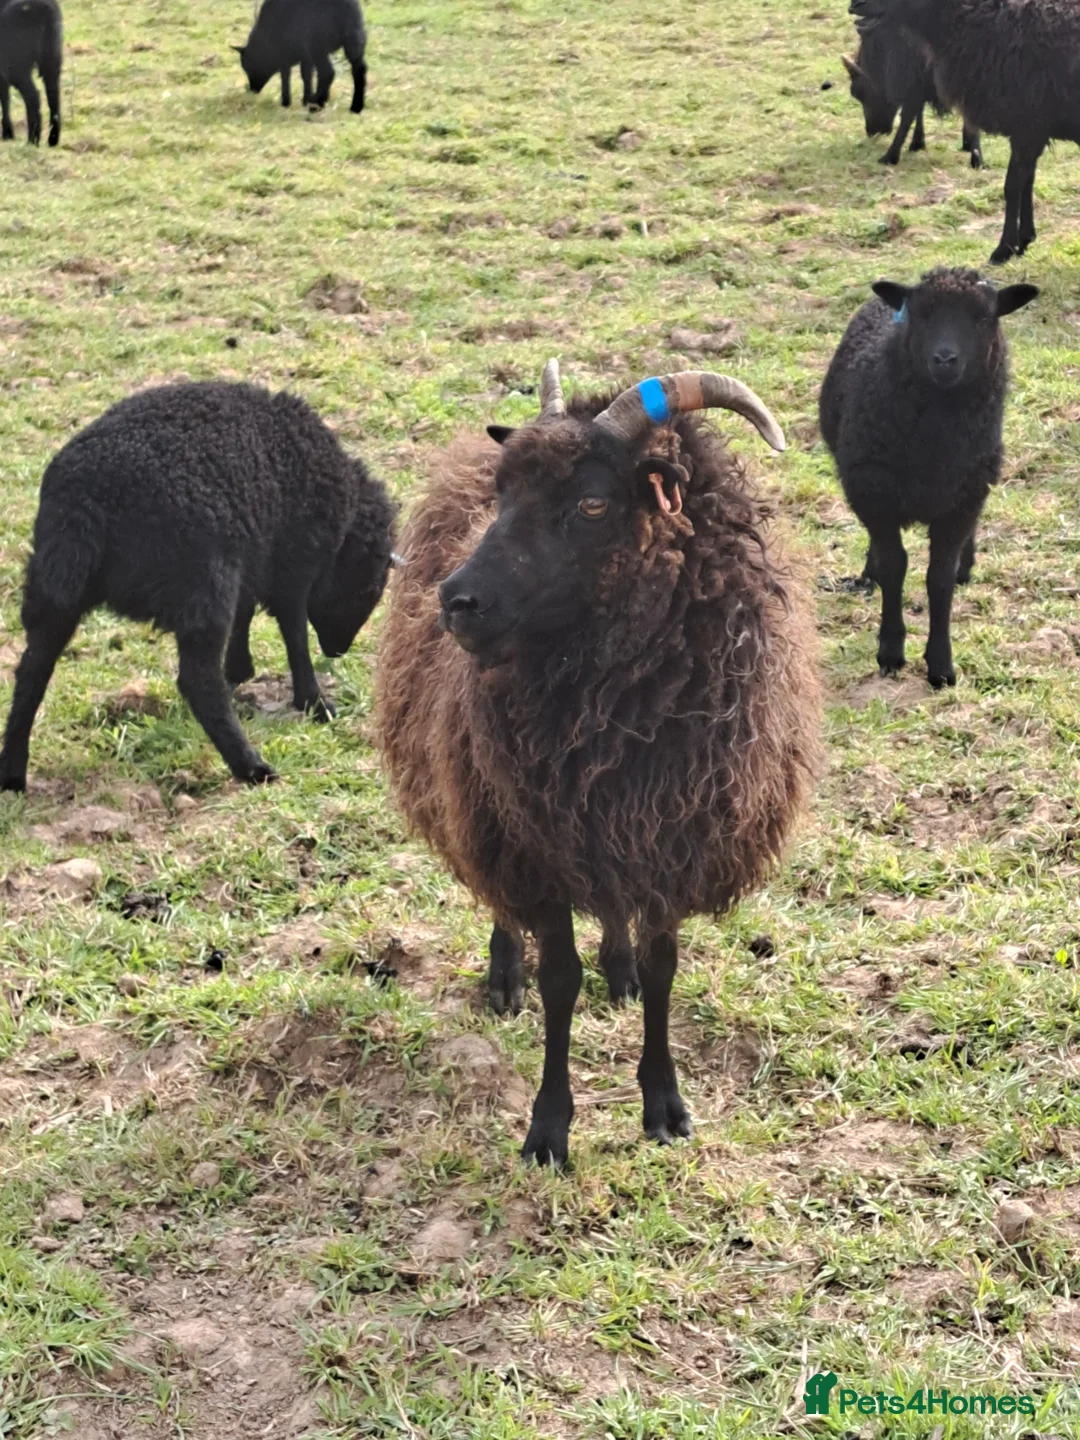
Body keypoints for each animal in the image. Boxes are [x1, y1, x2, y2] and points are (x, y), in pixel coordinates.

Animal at [0, 0, 62, 148]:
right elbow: (4, 97)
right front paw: (8, 134)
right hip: (52, 59)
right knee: (54, 97)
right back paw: (52, 140)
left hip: (16, 64)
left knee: (33, 96)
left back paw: (32, 140)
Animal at [0, 382, 393, 791]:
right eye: (368, 587)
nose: (337, 651)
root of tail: (86, 501)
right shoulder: (292, 567)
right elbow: (295, 636)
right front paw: (314, 703)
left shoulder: (252, 556)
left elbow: (246, 614)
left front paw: (240, 669)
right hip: (202, 583)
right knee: (197, 681)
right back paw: (251, 767)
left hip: (54, 583)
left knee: (32, 671)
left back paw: (12, 772)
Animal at [234, 0, 367, 114]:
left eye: (249, 68)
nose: (252, 90)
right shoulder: (305, 55)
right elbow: (306, 75)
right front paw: (305, 99)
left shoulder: (284, 53)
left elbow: (286, 75)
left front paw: (286, 102)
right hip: (354, 39)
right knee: (359, 69)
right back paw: (356, 107)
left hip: (317, 44)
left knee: (328, 72)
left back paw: (316, 104)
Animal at [377, 361, 822, 1166]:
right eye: (502, 495)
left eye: (591, 502)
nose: (456, 601)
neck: (612, 702)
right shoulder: (534, 845)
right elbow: (560, 979)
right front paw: (549, 1129)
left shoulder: (672, 835)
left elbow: (661, 968)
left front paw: (664, 1104)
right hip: (485, 804)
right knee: (500, 900)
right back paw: (504, 973)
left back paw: (615, 965)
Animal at [819, 268, 1037, 689]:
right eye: (921, 316)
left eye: (983, 318)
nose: (945, 359)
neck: (933, 445)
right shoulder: (875, 493)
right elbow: (895, 565)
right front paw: (890, 650)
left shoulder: (963, 499)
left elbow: (939, 577)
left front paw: (940, 665)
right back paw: (868, 574)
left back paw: (967, 565)